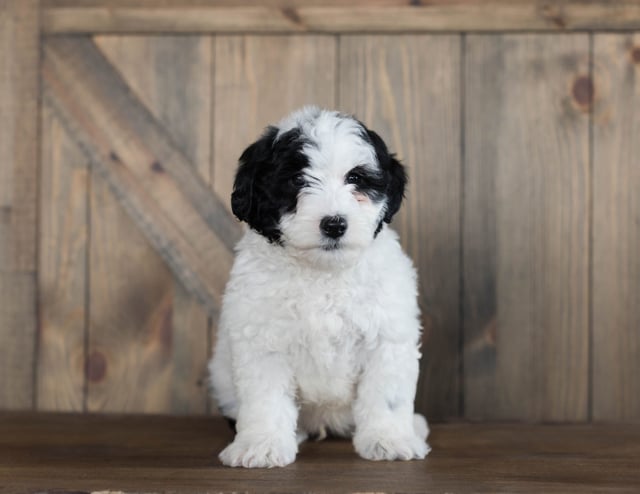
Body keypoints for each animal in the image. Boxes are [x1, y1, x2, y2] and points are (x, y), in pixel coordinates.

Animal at [210, 107, 430, 466]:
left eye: (356, 179)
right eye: (298, 181)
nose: (334, 224)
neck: (323, 272)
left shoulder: (386, 336)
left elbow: (386, 394)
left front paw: (388, 439)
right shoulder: (263, 339)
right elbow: (265, 398)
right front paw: (262, 444)